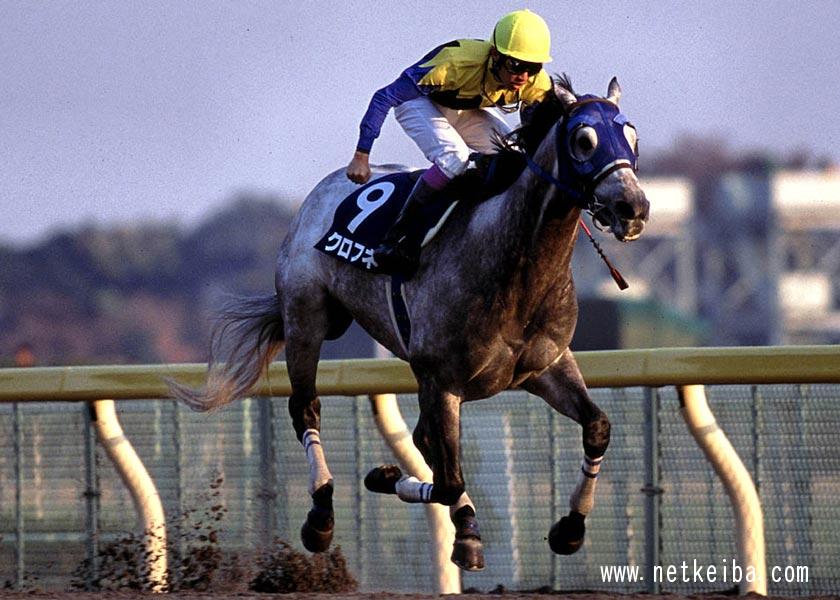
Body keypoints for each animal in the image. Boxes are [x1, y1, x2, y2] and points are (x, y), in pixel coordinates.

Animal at [170, 74, 649, 572]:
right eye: (584, 139)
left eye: (632, 137)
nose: (632, 208)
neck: (513, 265)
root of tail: (321, 192)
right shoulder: (441, 380)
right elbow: (450, 476)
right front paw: (428, 505)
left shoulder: (544, 367)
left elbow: (596, 428)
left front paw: (570, 529)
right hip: (306, 317)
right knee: (306, 407)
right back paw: (321, 514)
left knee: (420, 438)